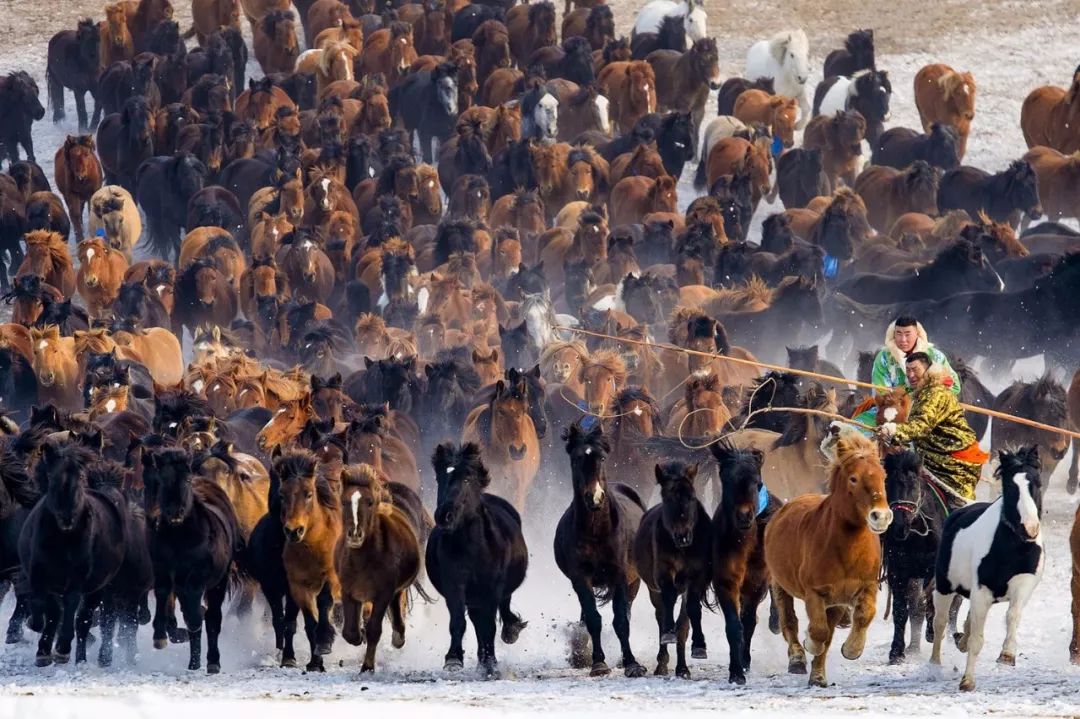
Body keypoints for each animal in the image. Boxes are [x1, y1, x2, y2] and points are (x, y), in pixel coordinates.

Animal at [334, 462, 423, 669]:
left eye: (369, 502)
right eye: (344, 502)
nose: (355, 534)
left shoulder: (383, 593)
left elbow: (375, 628)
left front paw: (367, 666)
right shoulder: (349, 591)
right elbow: (350, 632)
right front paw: (359, 636)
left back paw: (397, 639)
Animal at [429, 440, 531, 673]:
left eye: (466, 479)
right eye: (440, 478)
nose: (444, 516)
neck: (472, 548)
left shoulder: (491, 589)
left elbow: (489, 627)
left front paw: (490, 662)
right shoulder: (454, 584)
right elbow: (458, 621)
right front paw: (453, 659)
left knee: (497, 613)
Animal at [557, 421, 639, 673]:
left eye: (602, 458)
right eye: (576, 459)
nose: (594, 497)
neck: (596, 532)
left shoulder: (620, 575)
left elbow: (621, 620)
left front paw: (631, 663)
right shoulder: (581, 577)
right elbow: (593, 619)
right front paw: (598, 663)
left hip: (634, 582)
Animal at [764, 427, 889, 686]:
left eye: (883, 476)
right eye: (853, 478)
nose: (881, 516)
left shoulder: (859, 589)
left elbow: (863, 616)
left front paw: (851, 650)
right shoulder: (815, 593)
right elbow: (819, 632)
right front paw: (809, 644)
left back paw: (818, 676)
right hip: (779, 585)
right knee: (788, 621)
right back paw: (797, 659)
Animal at [933, 449, 1041, 690]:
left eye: (1037, 483)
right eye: (1010, 487)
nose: (1030, 529)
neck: (1012, 547)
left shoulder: (1024, 582)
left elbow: (1013, 615)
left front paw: (1007, 655)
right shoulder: (981, 591)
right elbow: (977, 639)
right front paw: (967, 681)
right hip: (944, 587)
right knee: (940, 623)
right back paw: (932, 666)